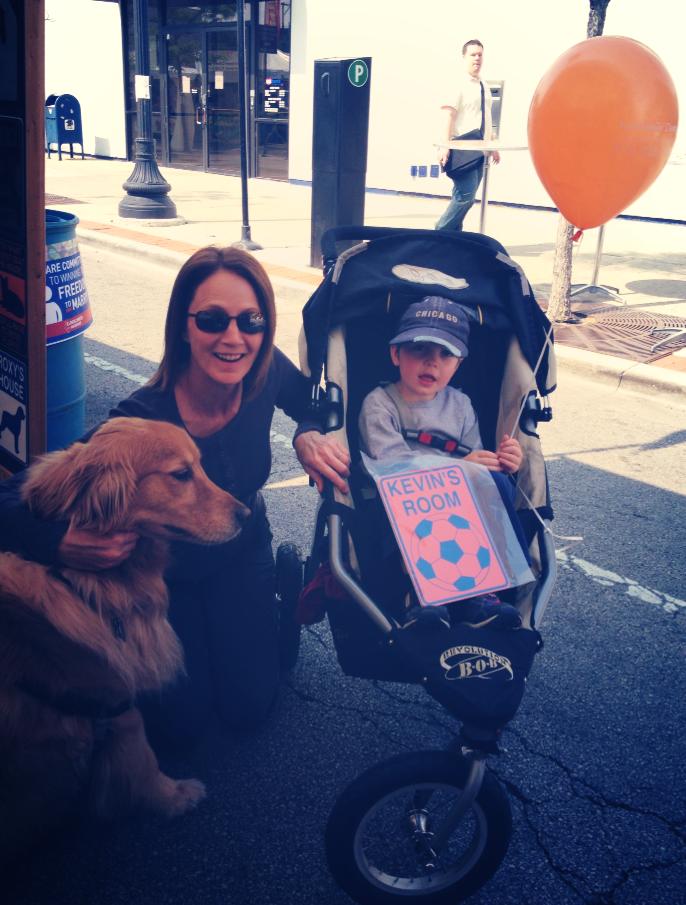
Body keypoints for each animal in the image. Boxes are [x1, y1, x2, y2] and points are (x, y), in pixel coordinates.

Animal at [0, 417, 250, 856]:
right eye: (181, 474)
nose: (246, 513)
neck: (78, 583)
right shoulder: (116, 699)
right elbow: (144, 755)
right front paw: (174, 796)